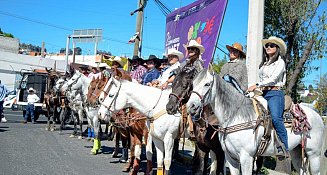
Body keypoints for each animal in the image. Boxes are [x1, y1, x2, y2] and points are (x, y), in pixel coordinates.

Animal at [187, 69, 326, 174]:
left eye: (207, 84)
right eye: (193, 84)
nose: (191, 106)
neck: (235, 116)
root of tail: (317, 115)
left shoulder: (246, 158)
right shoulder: (230, 158)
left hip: (313, 155)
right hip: (296, 153)